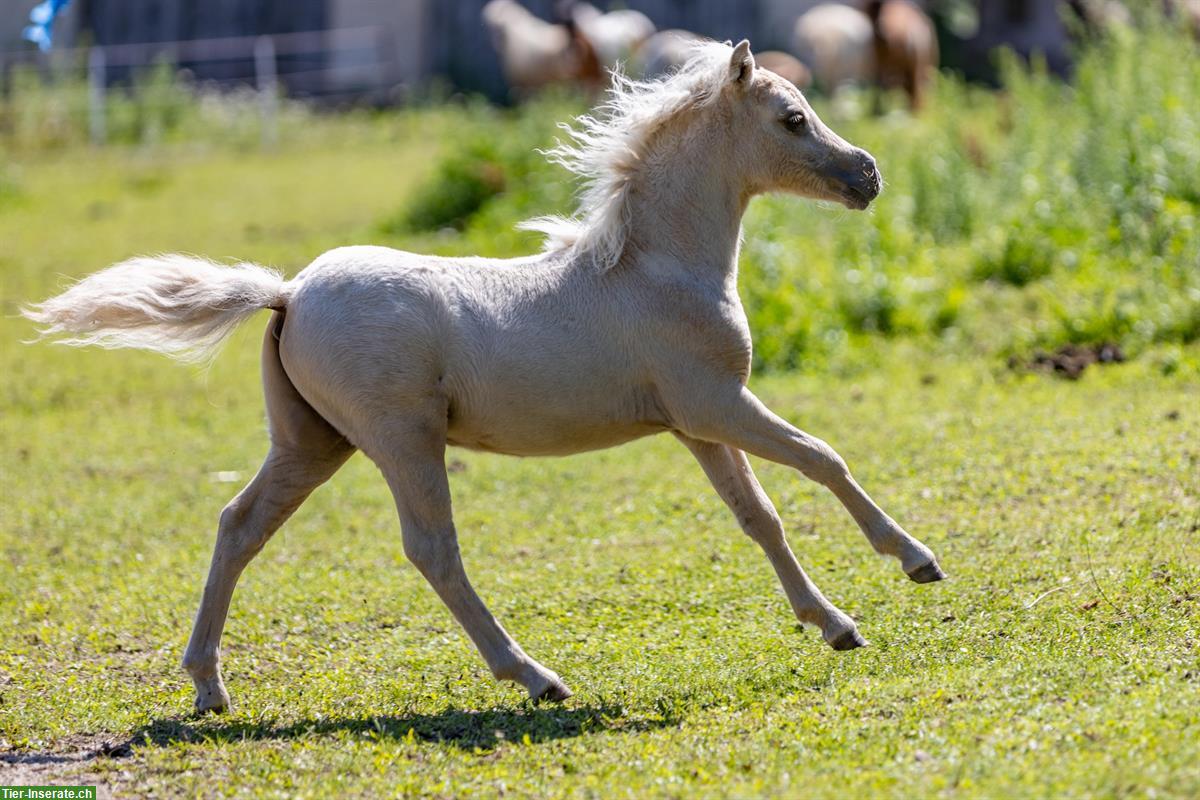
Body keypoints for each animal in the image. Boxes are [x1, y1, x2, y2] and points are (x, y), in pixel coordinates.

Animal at [23, 38, 945, 714]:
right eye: (792, 118)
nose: (867, 175)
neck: (651, 269)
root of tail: (287, 291)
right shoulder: (720, 403)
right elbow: (825, 459)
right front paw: (915, 561)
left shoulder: (696, 424)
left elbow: (759, 518)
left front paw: (834, 625)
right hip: (402, 440)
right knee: (432, 550)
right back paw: (535, 677)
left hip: (311, 443)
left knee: (238, 525)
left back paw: (209, 686)